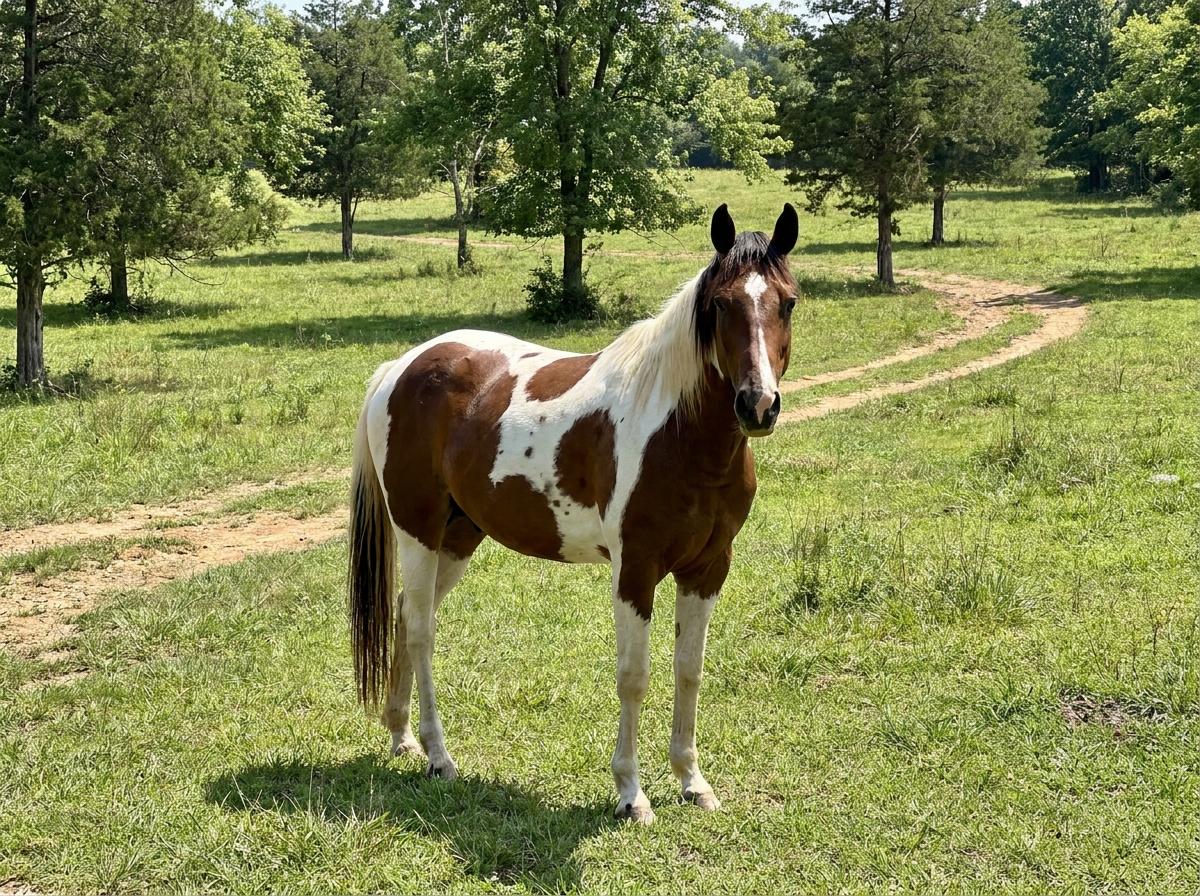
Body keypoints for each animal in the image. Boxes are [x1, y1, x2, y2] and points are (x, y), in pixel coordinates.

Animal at [348, 203, 798, 824]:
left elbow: (689, 670)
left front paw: (692, 781)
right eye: (721, 305)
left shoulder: (708, 569)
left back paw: (402, 737)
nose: (758, 405)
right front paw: (631, 794)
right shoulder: (635, 570)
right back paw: (439, 756)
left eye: (788, 302)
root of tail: (402, 367)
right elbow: (634, 677)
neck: (679, 434)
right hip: (417, 532)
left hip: (458, 537)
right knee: (419, 630)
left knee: (402, 616)